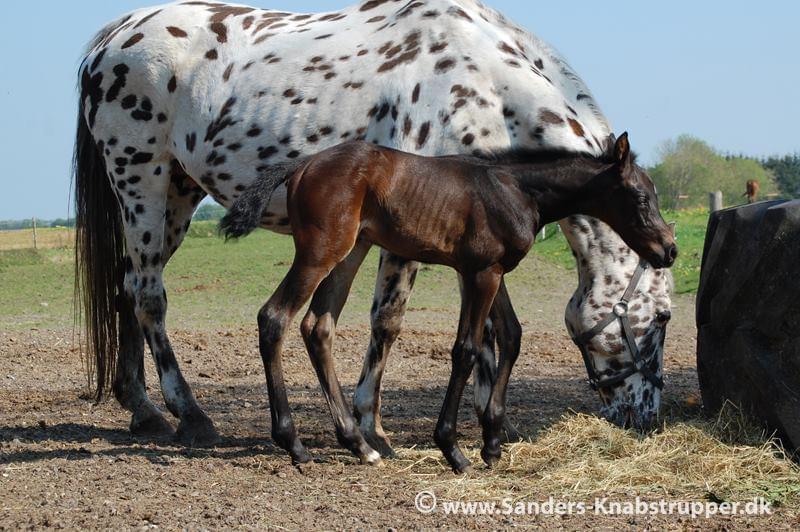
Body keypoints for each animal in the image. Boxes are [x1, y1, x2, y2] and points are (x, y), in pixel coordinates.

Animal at [219, 133, 676, 474]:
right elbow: (467, 350)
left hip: (350, 252)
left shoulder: (490, 271)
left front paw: (492, 443)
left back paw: (359, 444)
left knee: (318, 327)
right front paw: (453, 449)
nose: (668, 250)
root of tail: (304, 165)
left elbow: (511, 336)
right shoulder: (481, 273)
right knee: (274, 317)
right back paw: (294, 443)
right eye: (640, 199)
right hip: (320, 252)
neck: (516, 189)